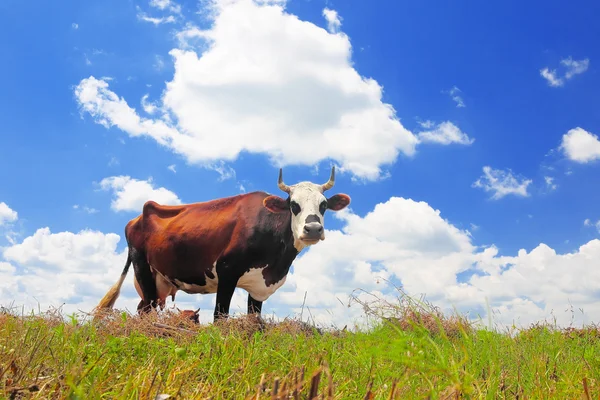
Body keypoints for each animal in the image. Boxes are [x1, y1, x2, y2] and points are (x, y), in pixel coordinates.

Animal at [91, 166, 350, 322]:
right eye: (293, 205)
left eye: (324, 205)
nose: (313, 229)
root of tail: (136, 218)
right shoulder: (227, 272)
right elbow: (219, 316)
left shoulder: (257, 287)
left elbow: (254, 321)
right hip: (142, 268)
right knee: (146, 310)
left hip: (158, 281)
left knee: (142, 307)